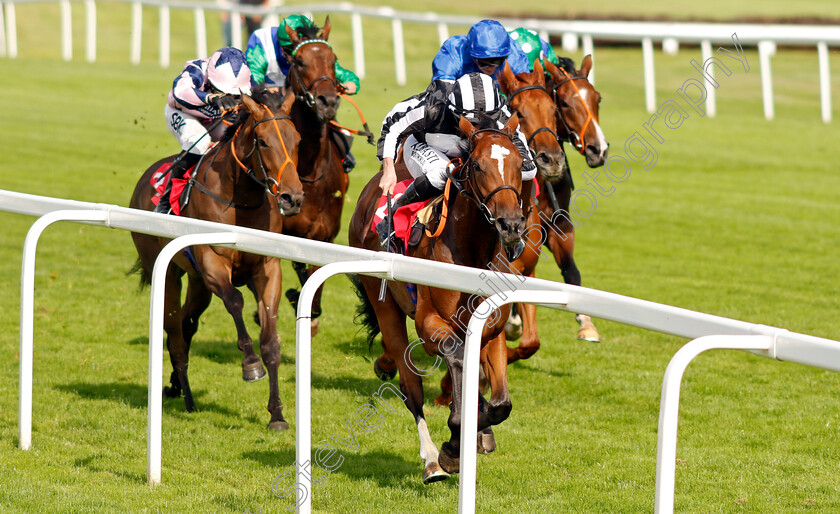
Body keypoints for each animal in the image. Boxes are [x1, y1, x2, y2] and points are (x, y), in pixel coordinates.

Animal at [130, 89, 304, 428]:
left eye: (298, 139)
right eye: (263, 141)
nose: (292, 198)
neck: (242, 198)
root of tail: (145, 178)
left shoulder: (267, 268)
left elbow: (271, 340)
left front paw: (277, 414)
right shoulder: (213, 262)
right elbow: (235, 300)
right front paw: (250, 364)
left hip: (197, 282)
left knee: (187, 324)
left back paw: (176, 385)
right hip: (167, 271)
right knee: (174, 333)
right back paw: (187, 398)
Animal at [348, 114, 524, 482]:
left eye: (518, 162)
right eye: (478, 165)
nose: (511, 224)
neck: (473, 254)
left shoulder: (492, 329)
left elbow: (500, 402)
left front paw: (479, 427)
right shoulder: (429, 323)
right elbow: (455, 357)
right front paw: (453, 445)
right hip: (383, 303)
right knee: (411, 387)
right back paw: (431, 459)